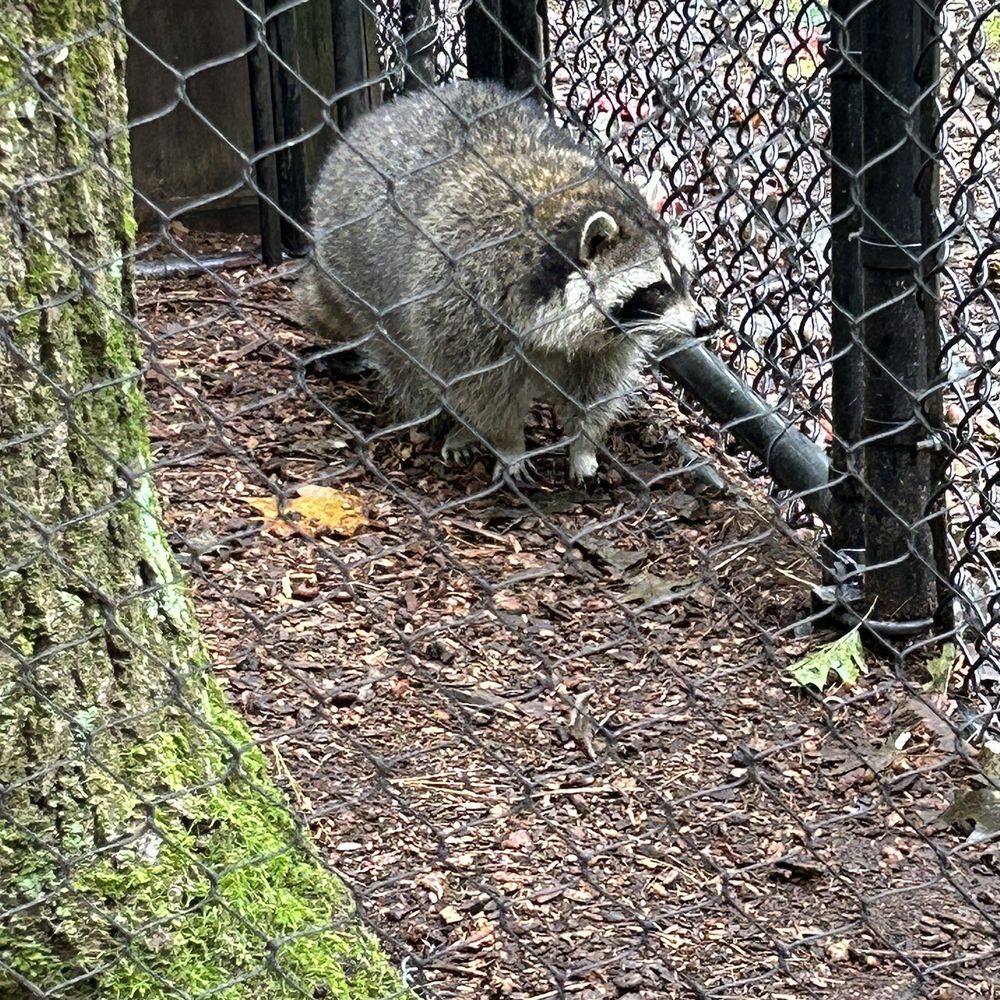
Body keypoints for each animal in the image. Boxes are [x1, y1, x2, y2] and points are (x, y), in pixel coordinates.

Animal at [297, 81, 699, 481]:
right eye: (657, 289)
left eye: (684, 276)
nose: (699, 326)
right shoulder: (466, 308)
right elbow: (481, 389)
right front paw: (508, 443)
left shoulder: (606, 341)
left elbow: (594, 388)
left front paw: (583, 444)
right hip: (360, 281)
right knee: (408, 363)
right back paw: (451, 424)